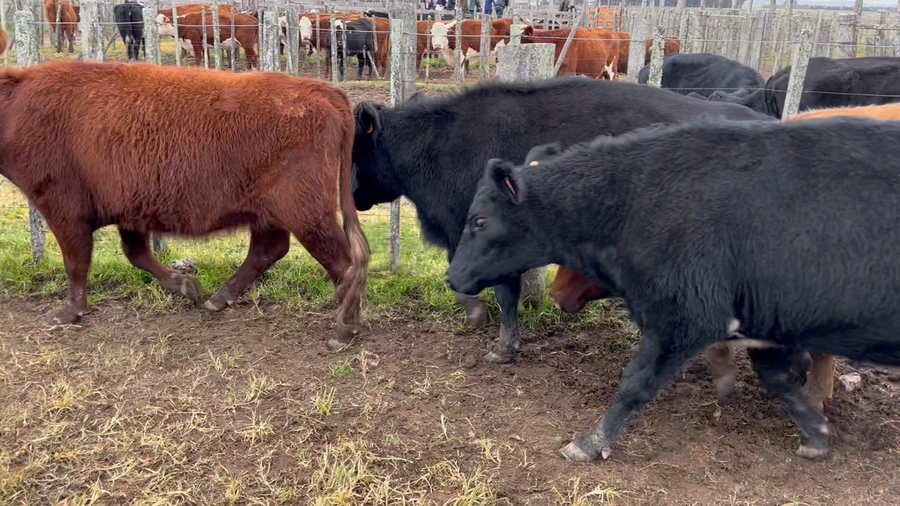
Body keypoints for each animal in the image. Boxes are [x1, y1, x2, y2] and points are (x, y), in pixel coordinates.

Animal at [0, 60, 370, 351]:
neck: (16, 105)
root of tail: (323, 90)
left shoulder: (64, 210)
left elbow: (76, 262)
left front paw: (69, 312)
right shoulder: (130, 213)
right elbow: (137, 255)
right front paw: (186, 285)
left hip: (307, 215)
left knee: (342, 261)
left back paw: (344, 328)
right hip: (272, 214)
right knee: (269, 250)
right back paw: (217, 300)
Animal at [445, 116, 900, 463]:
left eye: (480, 220)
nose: (451, 277)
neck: (632, 199)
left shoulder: (684, 318)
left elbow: (636, 384)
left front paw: (591, 442)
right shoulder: (760, 322)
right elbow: (780, 381)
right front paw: (816, 435)